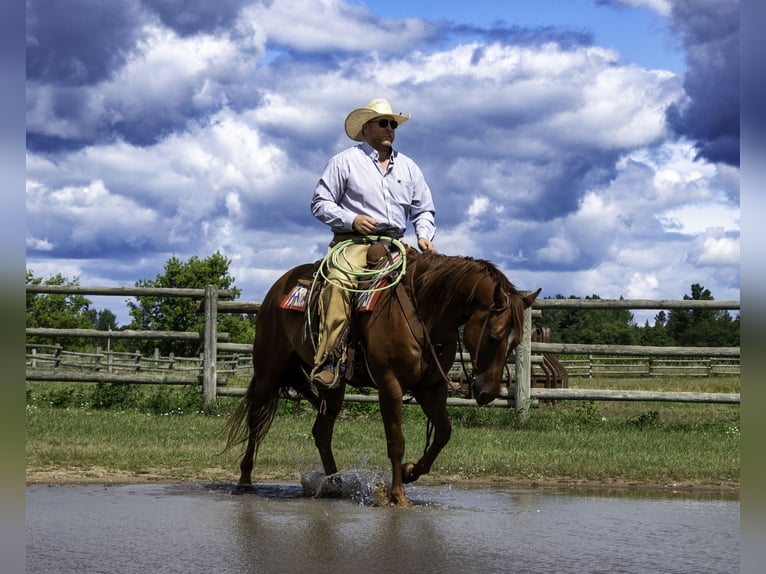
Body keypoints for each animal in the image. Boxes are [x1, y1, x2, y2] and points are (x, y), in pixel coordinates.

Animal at [225, 244, 544, 508]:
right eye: (493, 336)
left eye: (516, 343)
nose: (488, 393)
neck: (424, 312)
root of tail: (278, 287)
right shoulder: (390, 384)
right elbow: (396, 441)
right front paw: (398, 495)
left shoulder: (432, 387)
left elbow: (443, 432)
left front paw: (411, 472)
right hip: (268, 371)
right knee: (256, 421)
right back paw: (245, 480)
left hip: (333, 387)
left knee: (322, 432)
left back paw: (335, 484)